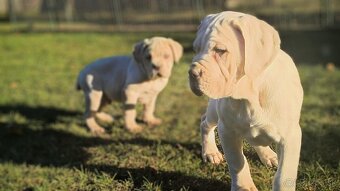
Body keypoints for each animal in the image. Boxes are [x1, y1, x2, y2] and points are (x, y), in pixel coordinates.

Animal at [189, 11, 302, 191]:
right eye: (195, 49)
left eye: (220, 50)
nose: (192, 73)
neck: (249, 95)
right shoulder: (227, 131)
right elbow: (237, 162)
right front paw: (244, 187)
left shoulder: (290, 136)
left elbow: (284, 175)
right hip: (214, 112)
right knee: (205, 123)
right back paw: (210, 152)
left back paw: (268, 155)